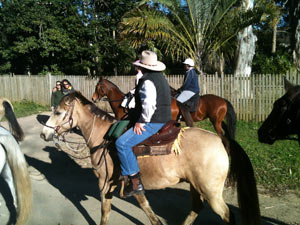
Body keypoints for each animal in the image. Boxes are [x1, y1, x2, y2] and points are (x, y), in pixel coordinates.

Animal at [39, 91, 260, 225]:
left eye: (59, 112)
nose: (43, 133)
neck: (103, 137)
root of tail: (220, 139)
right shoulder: (125, 182)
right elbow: (144, 206)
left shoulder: (104, 183)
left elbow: (105, 212)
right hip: (195, 186)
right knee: (196, 208)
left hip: (211, 192)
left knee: (227, 215)